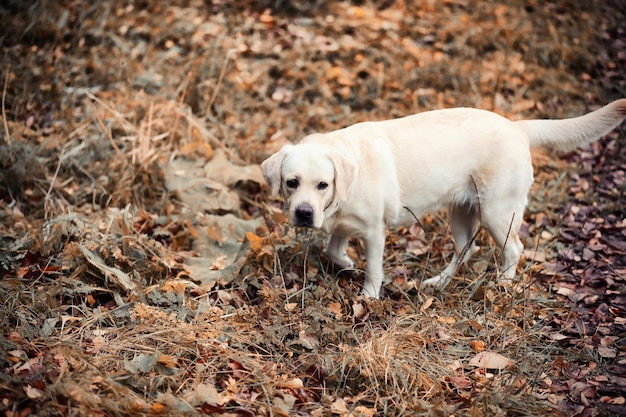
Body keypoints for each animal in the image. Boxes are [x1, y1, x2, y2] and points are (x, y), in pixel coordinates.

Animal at [260, 99, 624, 298]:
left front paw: (369, 296)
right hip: (461, 215)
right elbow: (334, 250)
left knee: (514, 250)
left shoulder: (375, 232)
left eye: (323, 184)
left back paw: (503, 284)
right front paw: (348, 265)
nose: (304, 213)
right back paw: (439, 282)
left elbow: (374, 269)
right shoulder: (341, 225)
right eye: (292, 183)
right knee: (467, 249)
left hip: (497, 214)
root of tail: (517, 127)